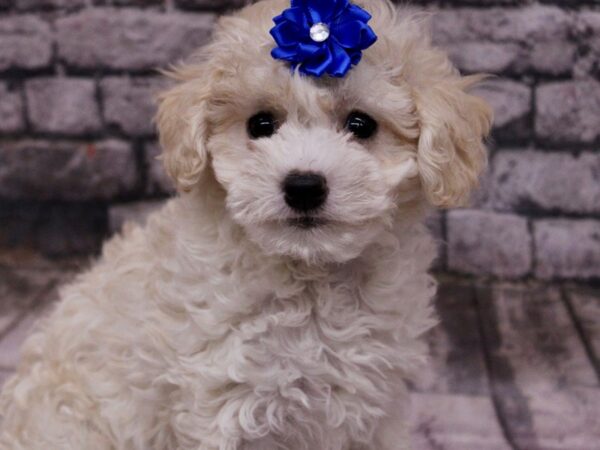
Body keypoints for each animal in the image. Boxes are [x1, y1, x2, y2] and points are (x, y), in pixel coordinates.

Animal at [0, 0, 492, 450]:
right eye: (260, 124)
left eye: (361, 124)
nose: (303, 186)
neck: (311, 280)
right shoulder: (224, 404)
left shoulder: (374, 408)